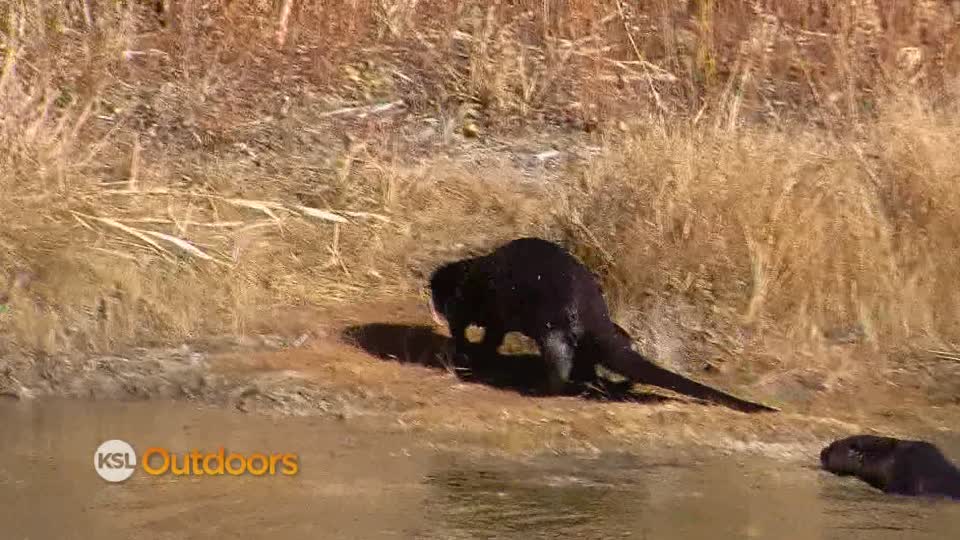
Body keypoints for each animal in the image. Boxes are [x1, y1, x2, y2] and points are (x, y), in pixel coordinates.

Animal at [427, 237, 777, 413]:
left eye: (436, 297)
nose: (434, 305)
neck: (471, 277)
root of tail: (590, 311)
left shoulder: (474, 304)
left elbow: (476, 332)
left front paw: (468, 353)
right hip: (603, 333)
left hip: (551, 324)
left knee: (560, 362)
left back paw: (541, 388)